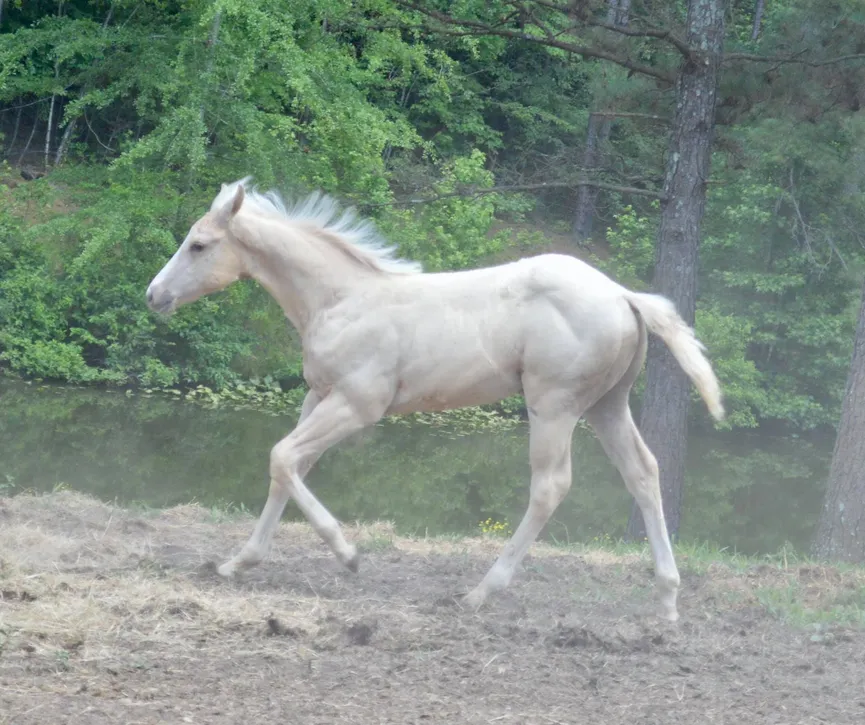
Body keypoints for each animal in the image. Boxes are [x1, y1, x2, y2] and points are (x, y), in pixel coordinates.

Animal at [148, 178, 724, 620]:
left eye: (199, 245)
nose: (154, 295)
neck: (340, 300)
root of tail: (624, 294)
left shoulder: (357, 404)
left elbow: (282, 456)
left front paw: (348, 553)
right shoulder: (318, 396)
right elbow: (288, 467)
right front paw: (238, 562)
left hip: (554, 405)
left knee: (550, 486)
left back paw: (481, 591)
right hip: (607, 405)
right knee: (644, 473)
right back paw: (667, 601)